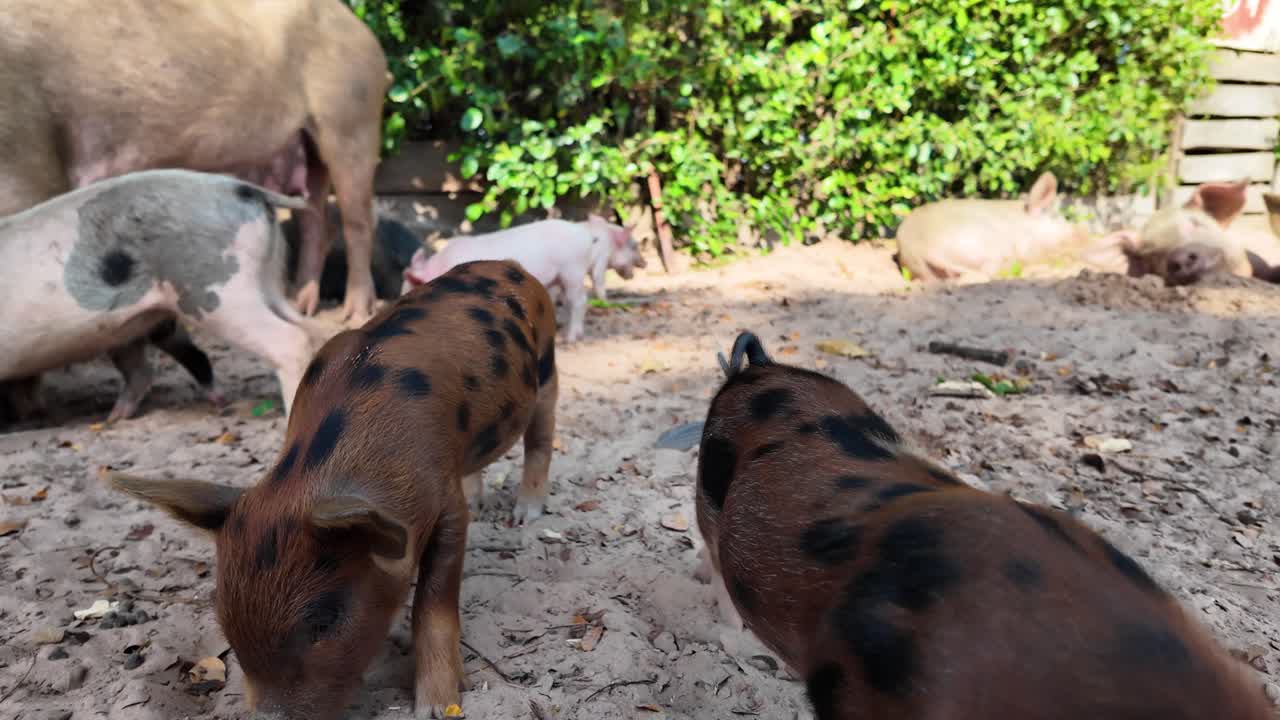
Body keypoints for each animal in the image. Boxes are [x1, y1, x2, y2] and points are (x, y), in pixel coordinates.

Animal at [0, 0, 390, 325]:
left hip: (351, 117)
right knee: (314, 220)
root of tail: (363, 32)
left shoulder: (25, 159)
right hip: (309, 145)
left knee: (358, 222)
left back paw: (354, 316)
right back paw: (303, 305)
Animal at [106, 258, 560, 720]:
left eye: (324, 619)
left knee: (540, 439)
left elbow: (434, 602)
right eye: (223, 616)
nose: (267, 715)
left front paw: (436, 707)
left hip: (547, 367)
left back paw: (526, 514)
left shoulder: (446, 502)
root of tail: (508, 265)